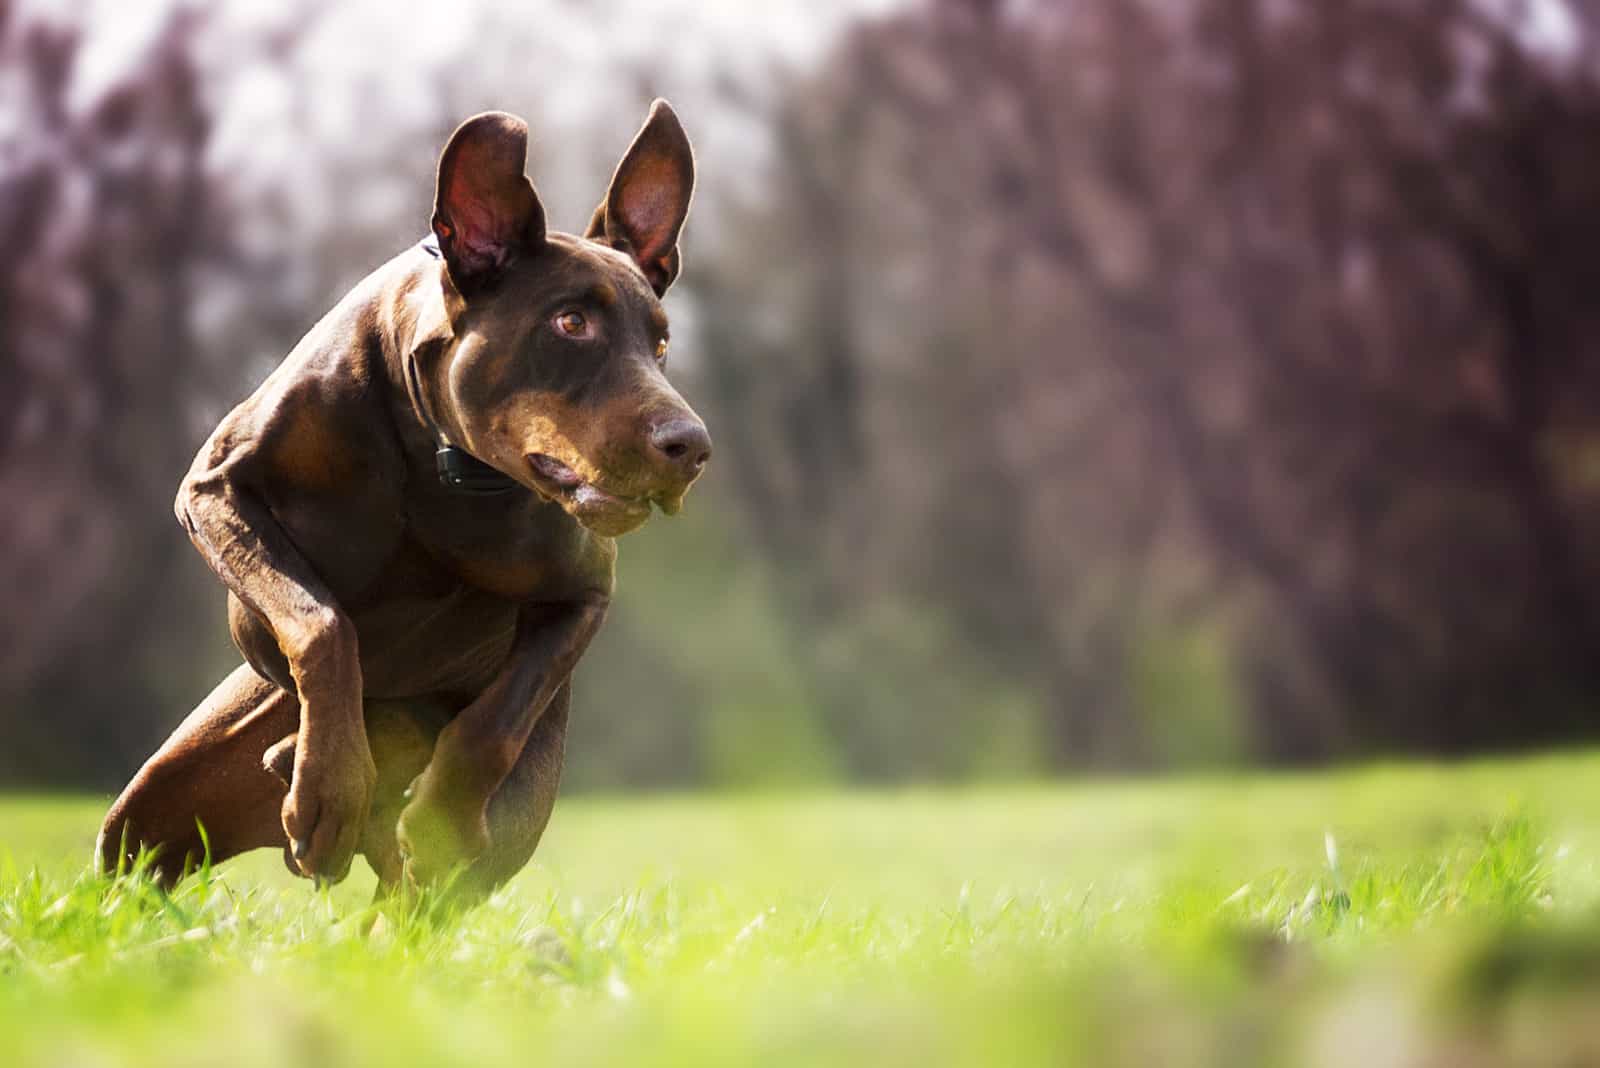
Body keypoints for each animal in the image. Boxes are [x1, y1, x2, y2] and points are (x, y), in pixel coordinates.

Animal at [93, 102, 707, 901]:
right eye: (570, 323)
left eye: (660, 344)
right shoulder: (217, 492)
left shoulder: (582, 591)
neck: (439, 459)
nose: (691, 445)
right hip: (148, 822)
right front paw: (330, 789)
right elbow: (322, 623)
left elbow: (497, 718)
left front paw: (439, 813)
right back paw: (311, 771)